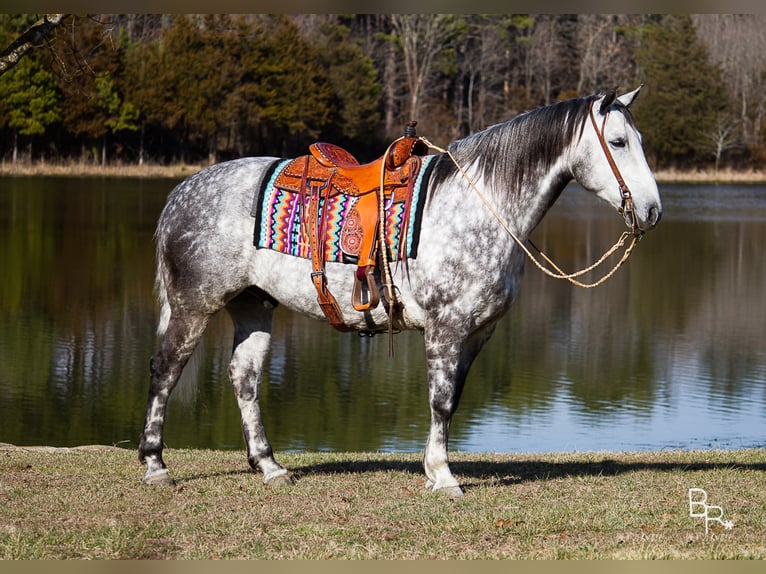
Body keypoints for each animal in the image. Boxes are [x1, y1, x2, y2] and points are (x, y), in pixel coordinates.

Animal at [141, 88, 664, 498]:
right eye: (618, 142)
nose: (652, 211)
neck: (479, 207)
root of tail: (182, 191)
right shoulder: (446, 326)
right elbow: (440, 400)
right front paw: (444, 476)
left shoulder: (479, 332)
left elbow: (453, 398)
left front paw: (435, 470)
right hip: (193, 306)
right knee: (165, 371)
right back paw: (155, 465)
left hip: (252, 305)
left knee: (244, 378)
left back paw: (270, 466)